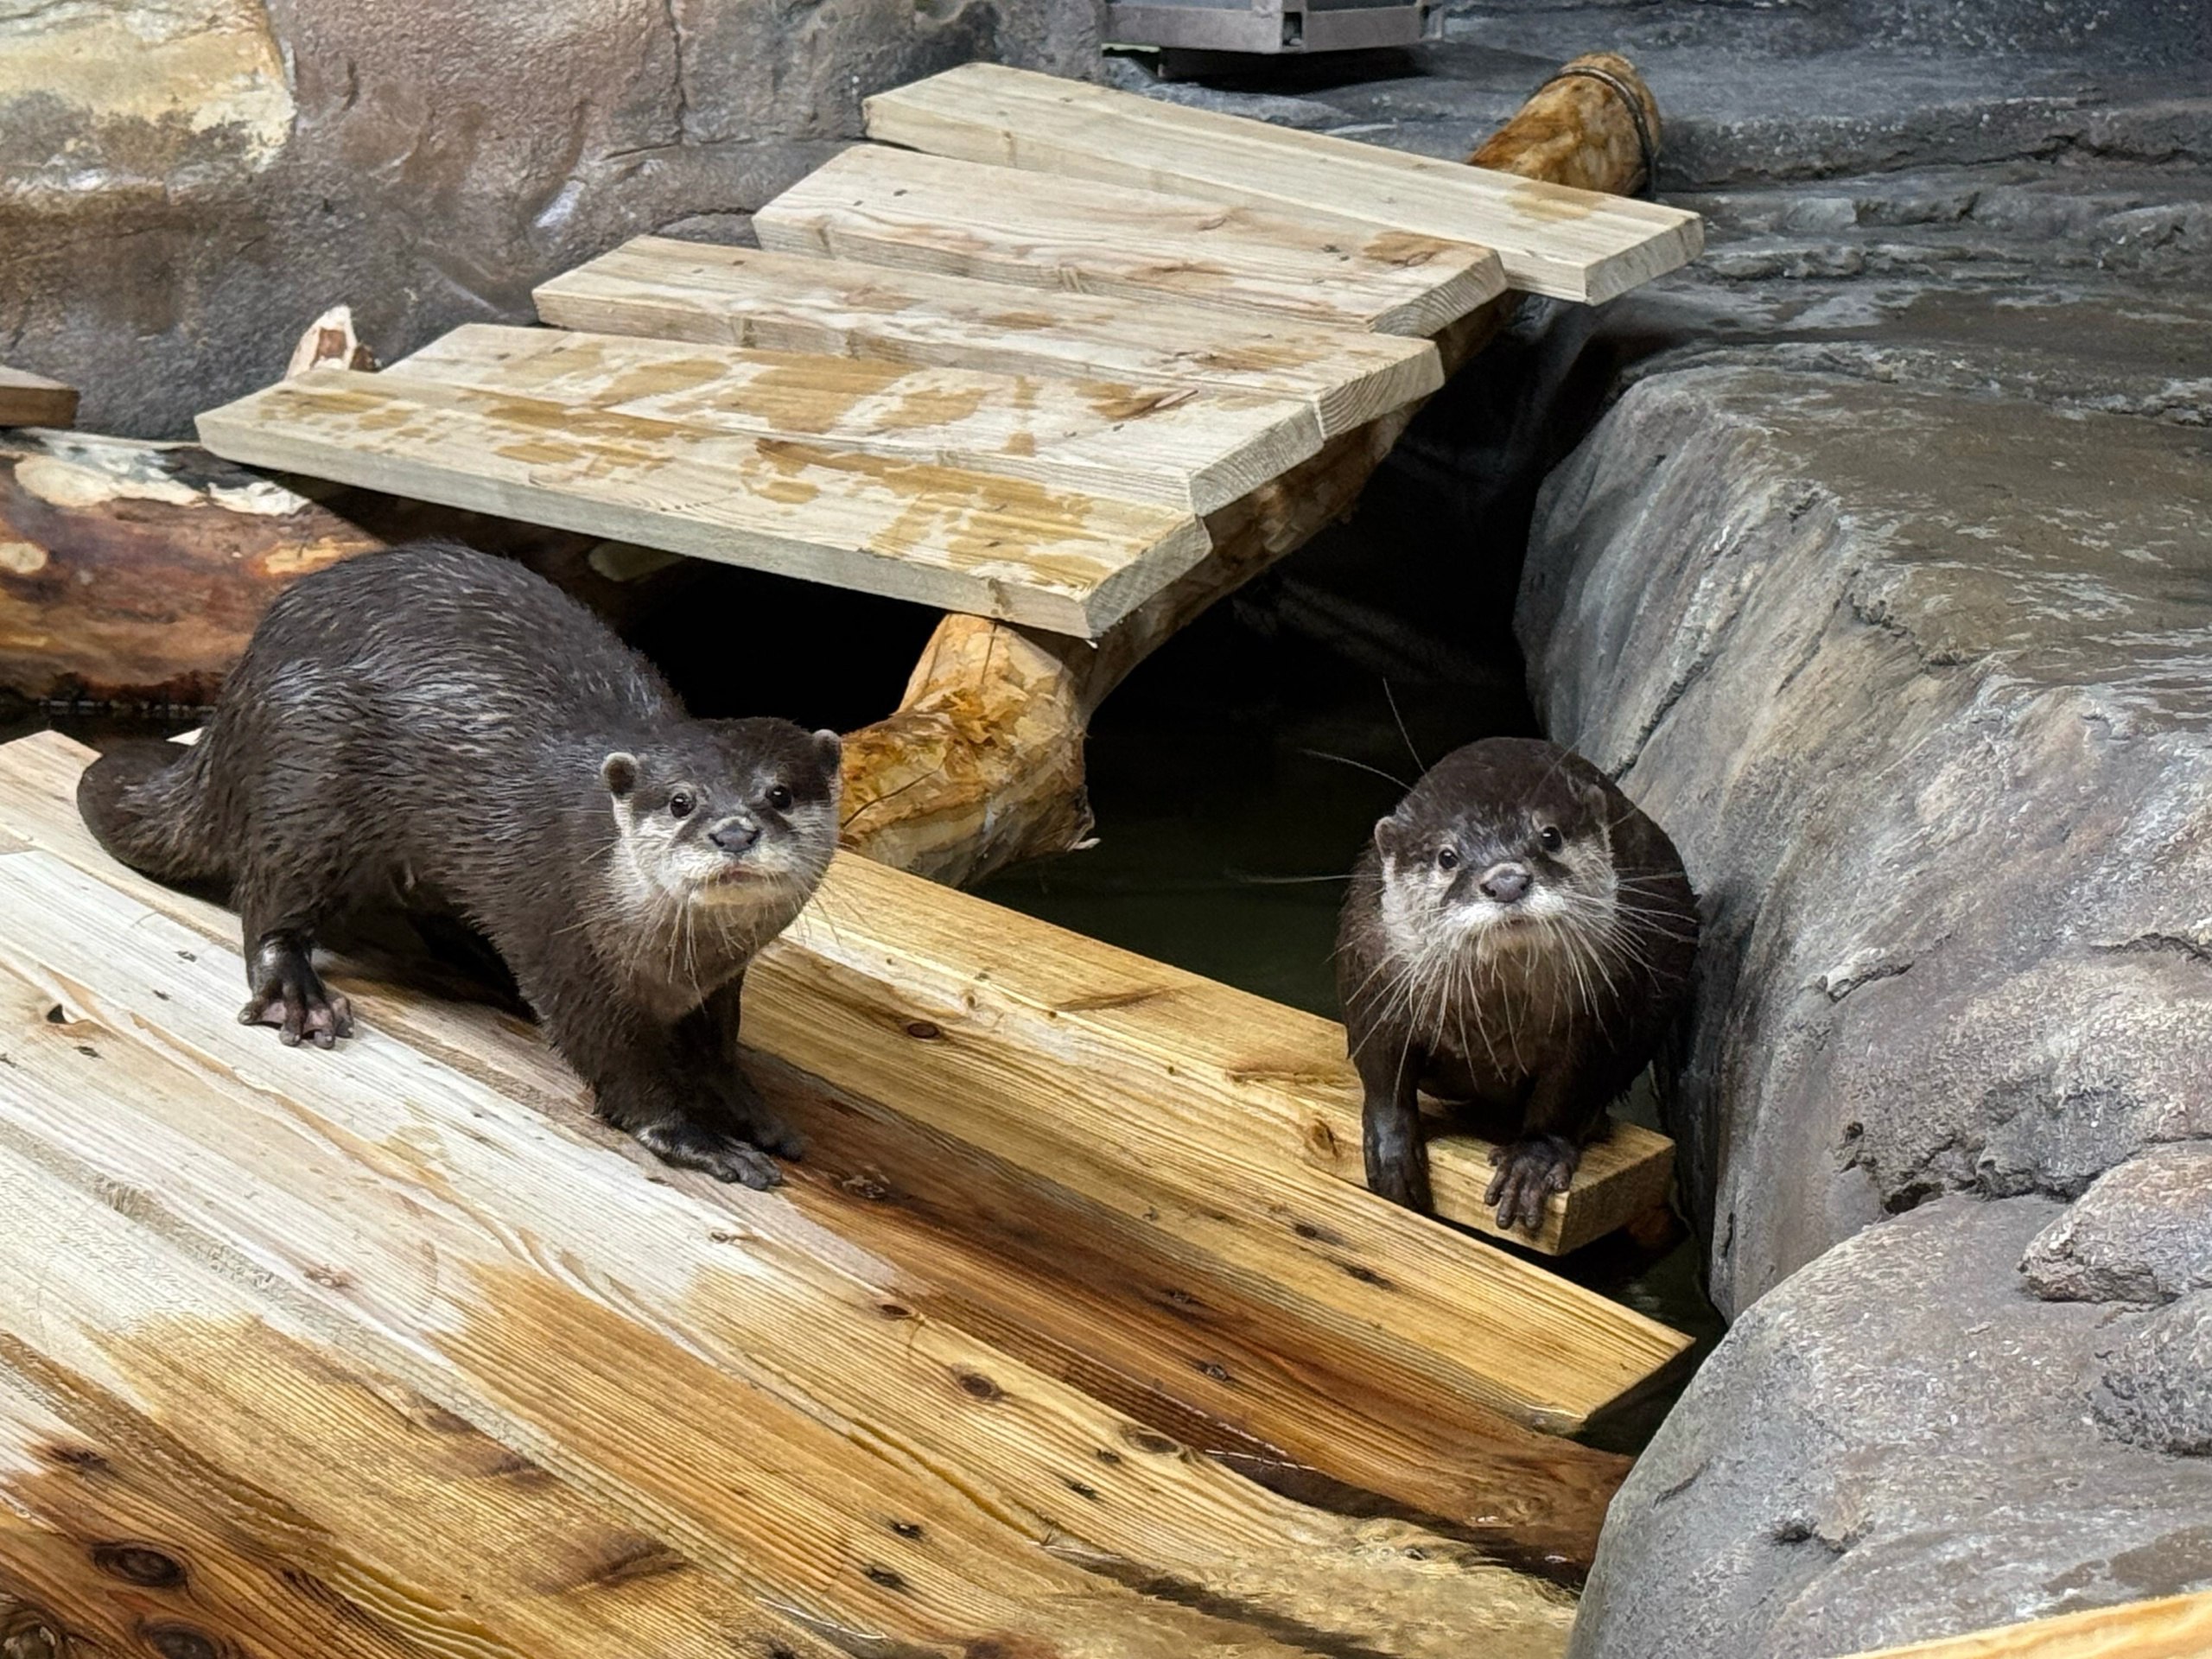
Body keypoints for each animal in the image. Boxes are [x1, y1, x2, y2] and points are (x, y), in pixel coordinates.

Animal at [78, 546, 836, 1194]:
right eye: (681, 800)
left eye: (780, 793)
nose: (733, 830)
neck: (678, 962)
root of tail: (238, 689)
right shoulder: (564, 937)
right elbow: (619, 1063)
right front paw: (699, 1139)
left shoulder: (721, 981)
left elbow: (718, 1045)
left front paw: (745, 1107)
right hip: (308, 767)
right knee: (269, 896)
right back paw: (299, 993)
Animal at [1336, 739, 1699, 1238]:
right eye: (1447, 856)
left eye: (1550, 836)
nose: (1506, 879)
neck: (1498, 1027)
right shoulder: (1373, 972)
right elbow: (1383, 1070)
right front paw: (1392, 1153)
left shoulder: (1602, 1014)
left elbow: (1570, 1089)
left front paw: (1533, 1162)